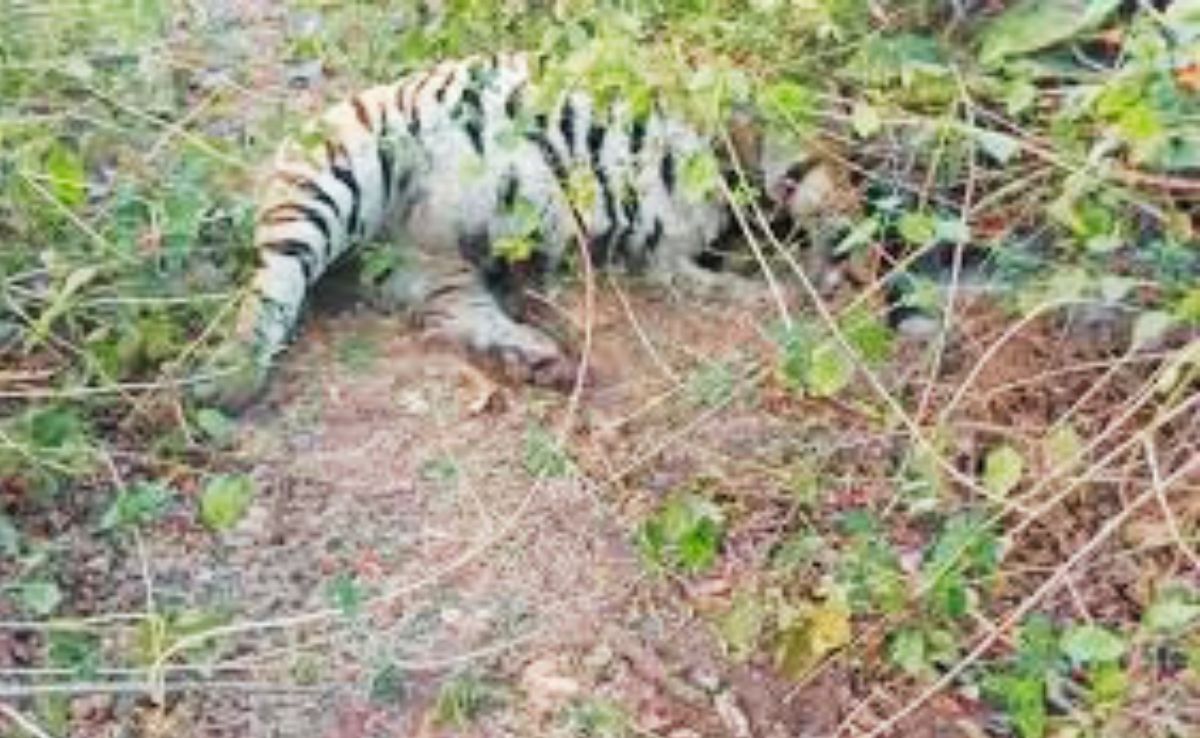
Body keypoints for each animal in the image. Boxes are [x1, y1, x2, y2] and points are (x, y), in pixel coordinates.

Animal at [197, 51, 853, 411]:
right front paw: (819, 264)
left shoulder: (664, 250)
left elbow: (705, 274)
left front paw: (792, 277)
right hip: (333, 182)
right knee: (271, 286)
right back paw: (228, 380)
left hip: (435, 266)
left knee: (449, 315)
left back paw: (537, 361)